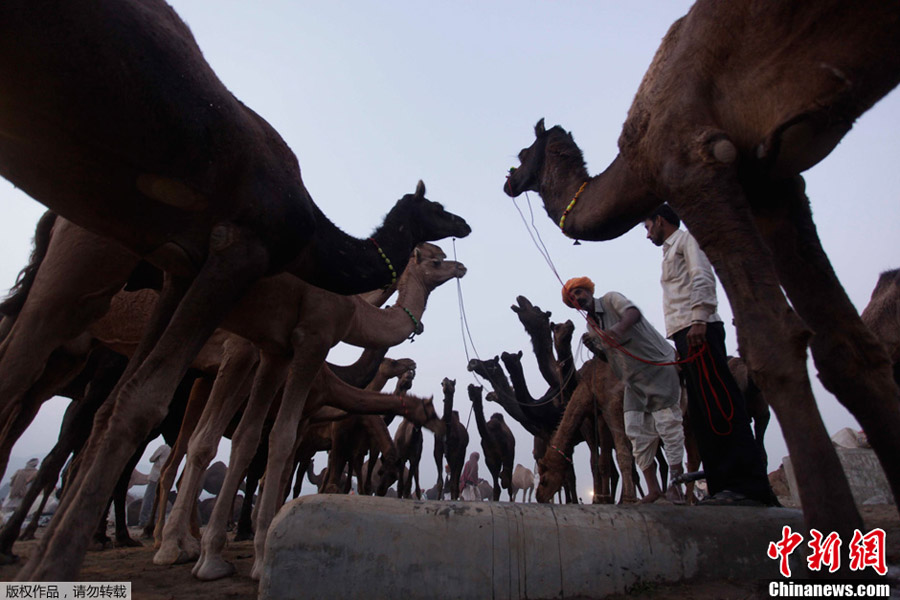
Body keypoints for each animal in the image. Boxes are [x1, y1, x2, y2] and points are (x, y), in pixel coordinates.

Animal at [1, 0, 472, 580]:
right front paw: (223, 553)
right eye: (436, 235)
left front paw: (216, 547)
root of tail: (52, 222)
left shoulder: (252, 332)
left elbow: (242, 440)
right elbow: (253, 443)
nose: (464, 235)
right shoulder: (271, 324)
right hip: (89, 267)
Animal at [502, 0, 900, 536]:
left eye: (524, 154)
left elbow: (773, 340)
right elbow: (847, 349)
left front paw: (829, 524)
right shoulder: (772, 184)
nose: (507, 180)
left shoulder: (694, 164)